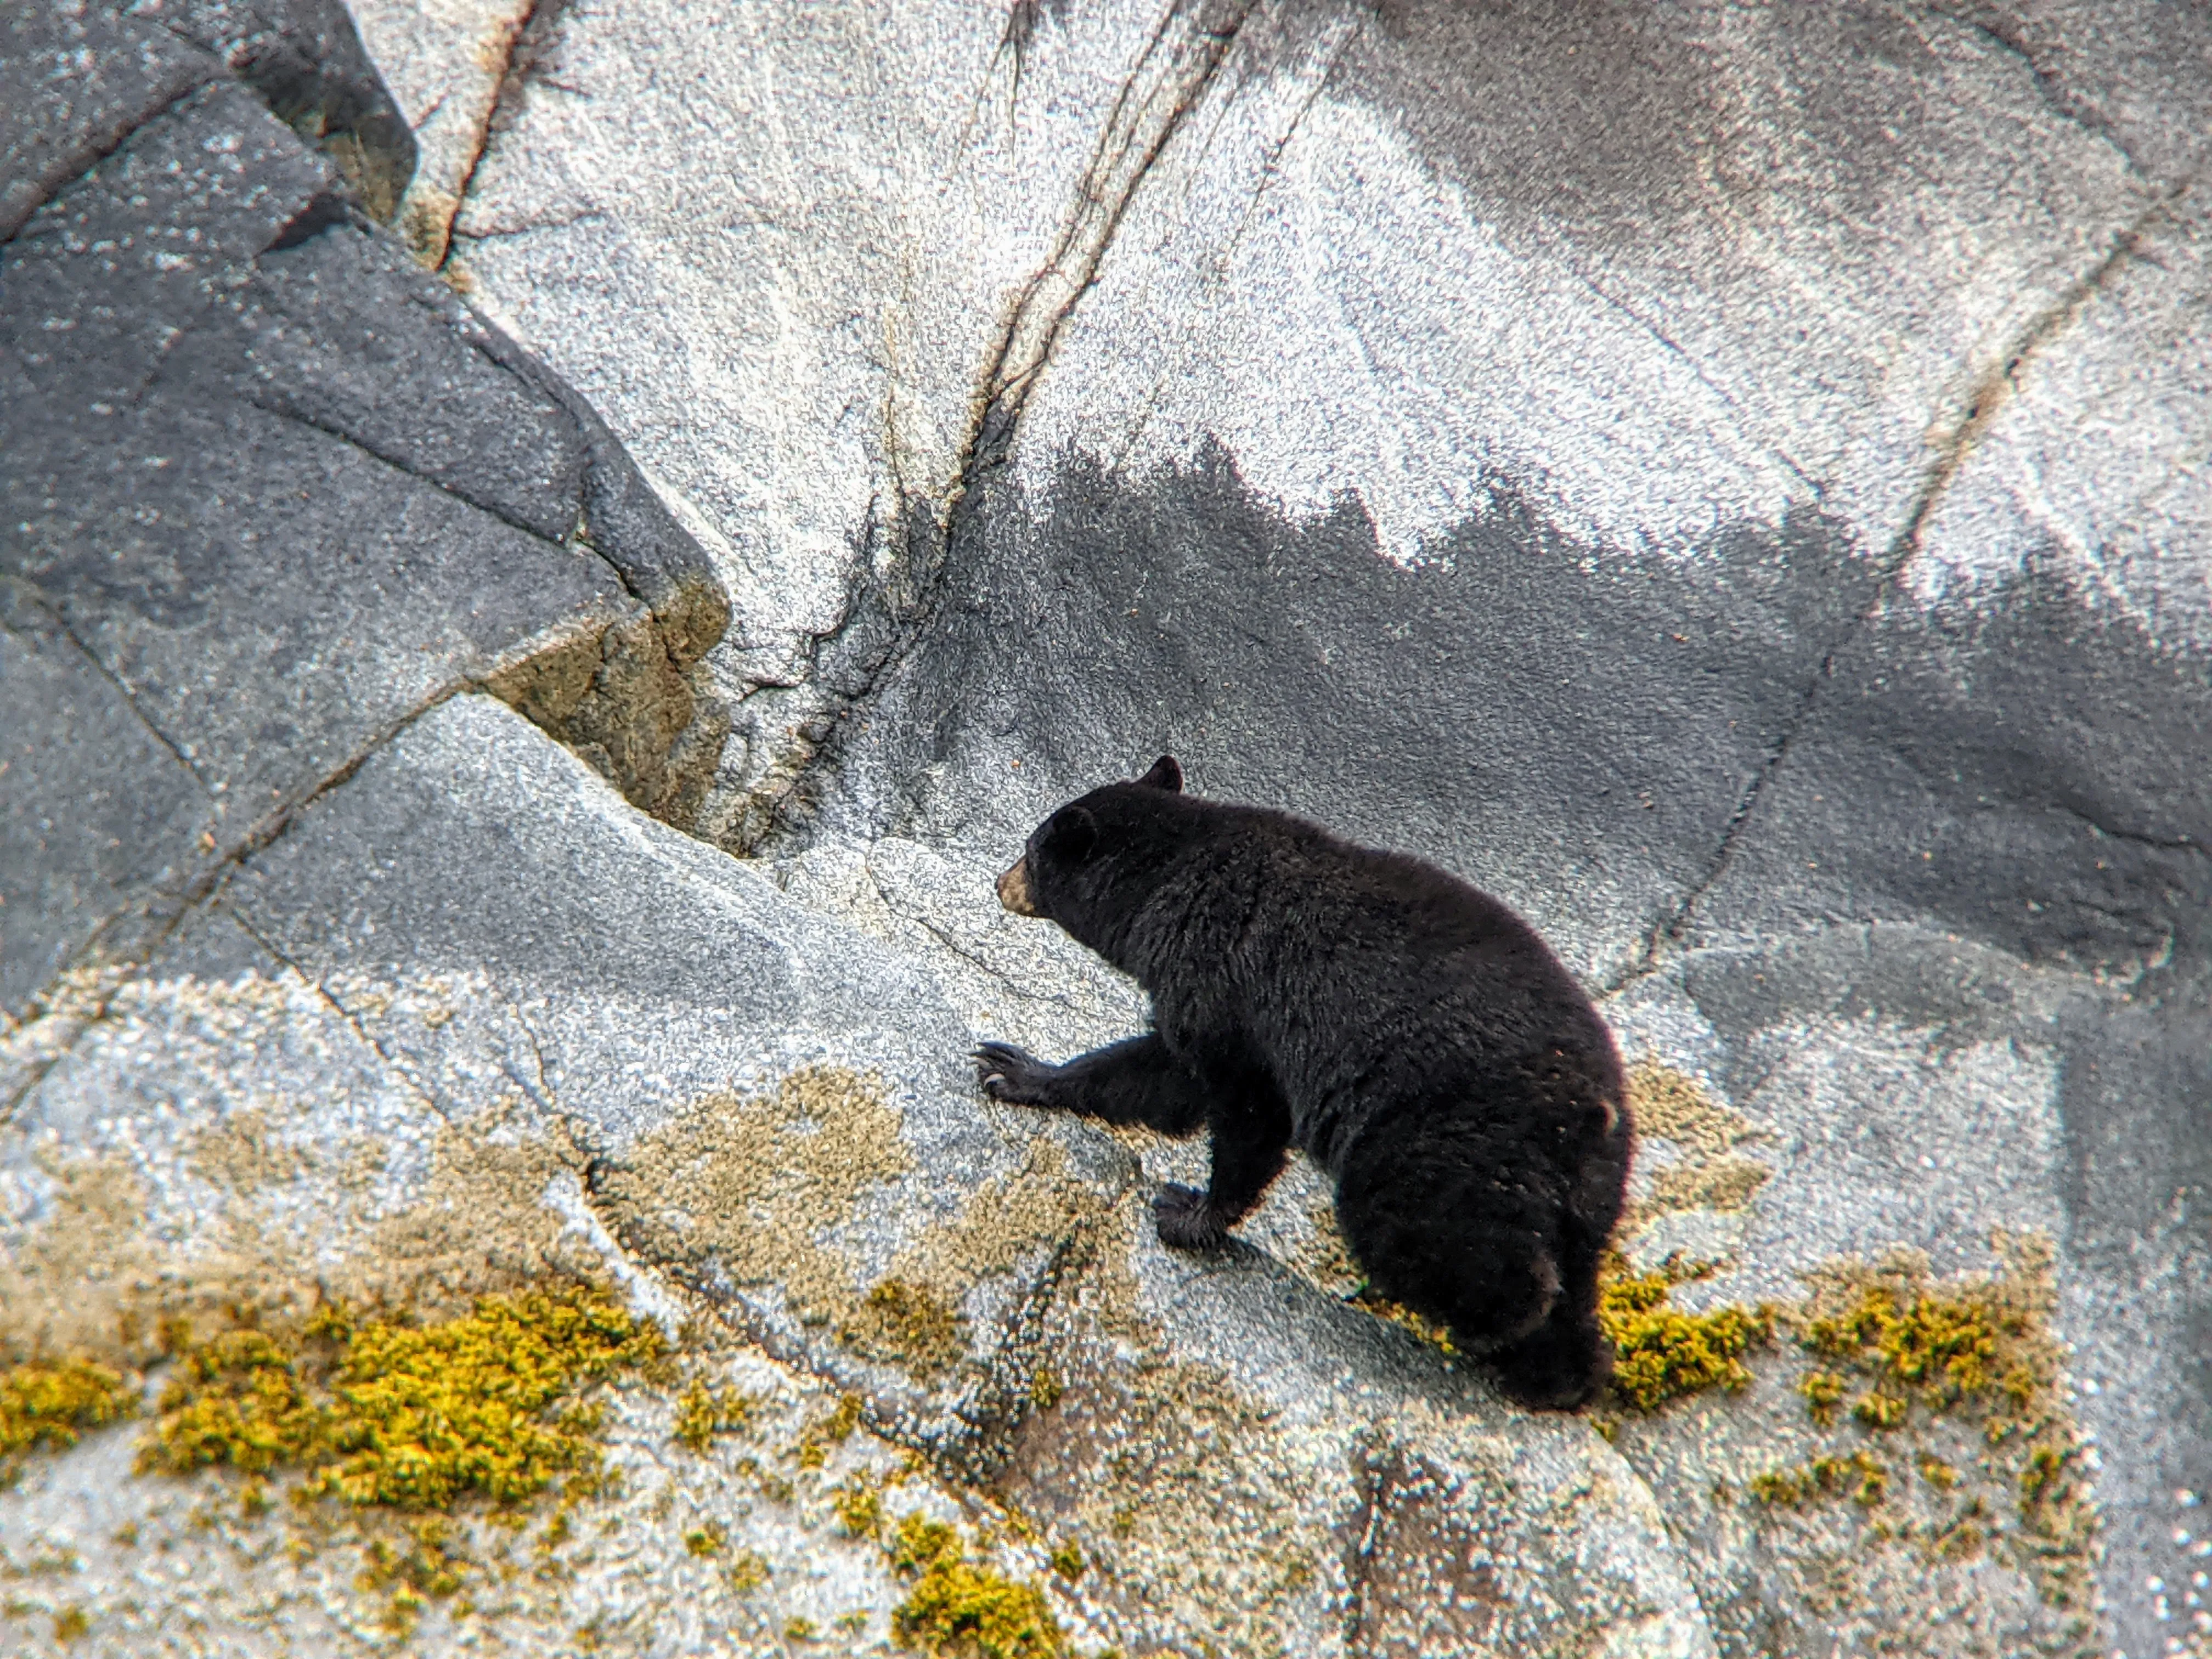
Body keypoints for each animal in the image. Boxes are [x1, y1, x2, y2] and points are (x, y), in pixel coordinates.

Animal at [972, 755, 1631, 1410]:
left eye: (1030, 851)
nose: (999, 883)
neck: (1172, 879)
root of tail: (1591, 1110)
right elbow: (1164, 1079)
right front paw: (1018, 1069)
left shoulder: (1219, 979)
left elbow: (1240, 1107)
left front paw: (1190, 1213)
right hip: (1586, 1193)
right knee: (1575, 1278)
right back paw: (1563, 1376)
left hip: (1445, 1148)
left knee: (1455, 1249)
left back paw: (1486, 1334)